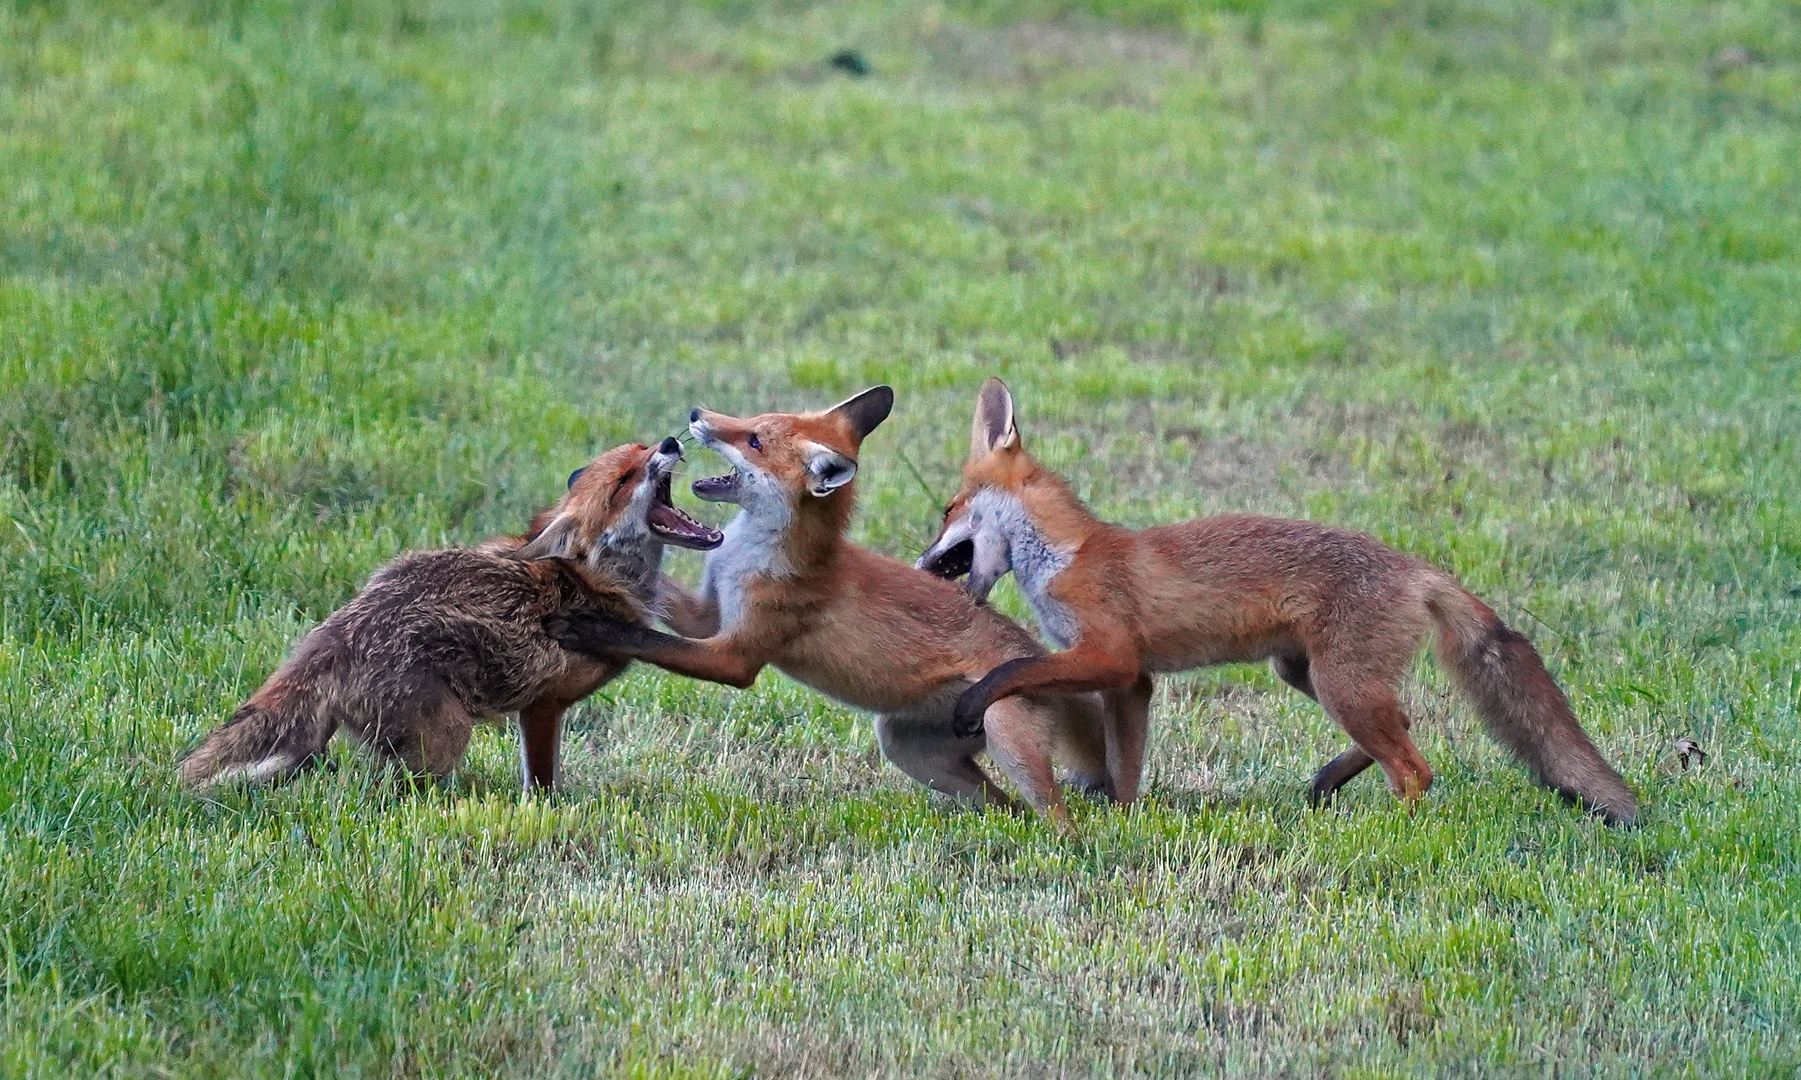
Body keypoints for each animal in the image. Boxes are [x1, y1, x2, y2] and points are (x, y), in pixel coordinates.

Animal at [175, 439, 720, 792]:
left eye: (642, 447)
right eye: (625, 480)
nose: (671, 440)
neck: (594, 582)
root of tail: (334, 635)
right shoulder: (542, 704)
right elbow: (542, 783)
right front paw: (546, 813)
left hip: (328, 737)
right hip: (444, 738)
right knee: (380, 791)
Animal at [547, 390, 1109, 835]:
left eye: (754, 440)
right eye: (753, 420)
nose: (694, 415)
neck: (748, 555)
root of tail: (1041, 656)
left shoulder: (735, 657)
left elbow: (648, 640)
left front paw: (585, 625)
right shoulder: (709, 615)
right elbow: (659, 598)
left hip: (1006, 738)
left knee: (1057, 818)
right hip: (909, 749)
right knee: (1005, 807)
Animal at [922, 376, 1642, 824]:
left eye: (946, 510)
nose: (923, 564)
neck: (1067, 555)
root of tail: (1418, 568)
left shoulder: (1111, 655)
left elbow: (1017, 668)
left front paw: (973, 702)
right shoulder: (1133, 681)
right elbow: (1124, 765)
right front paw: (1125, 819)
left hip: (1339, 684)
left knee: (1415, 769)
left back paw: (1394, 830)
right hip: (1310, 674)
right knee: (1405, 723)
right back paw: (1329, 783)